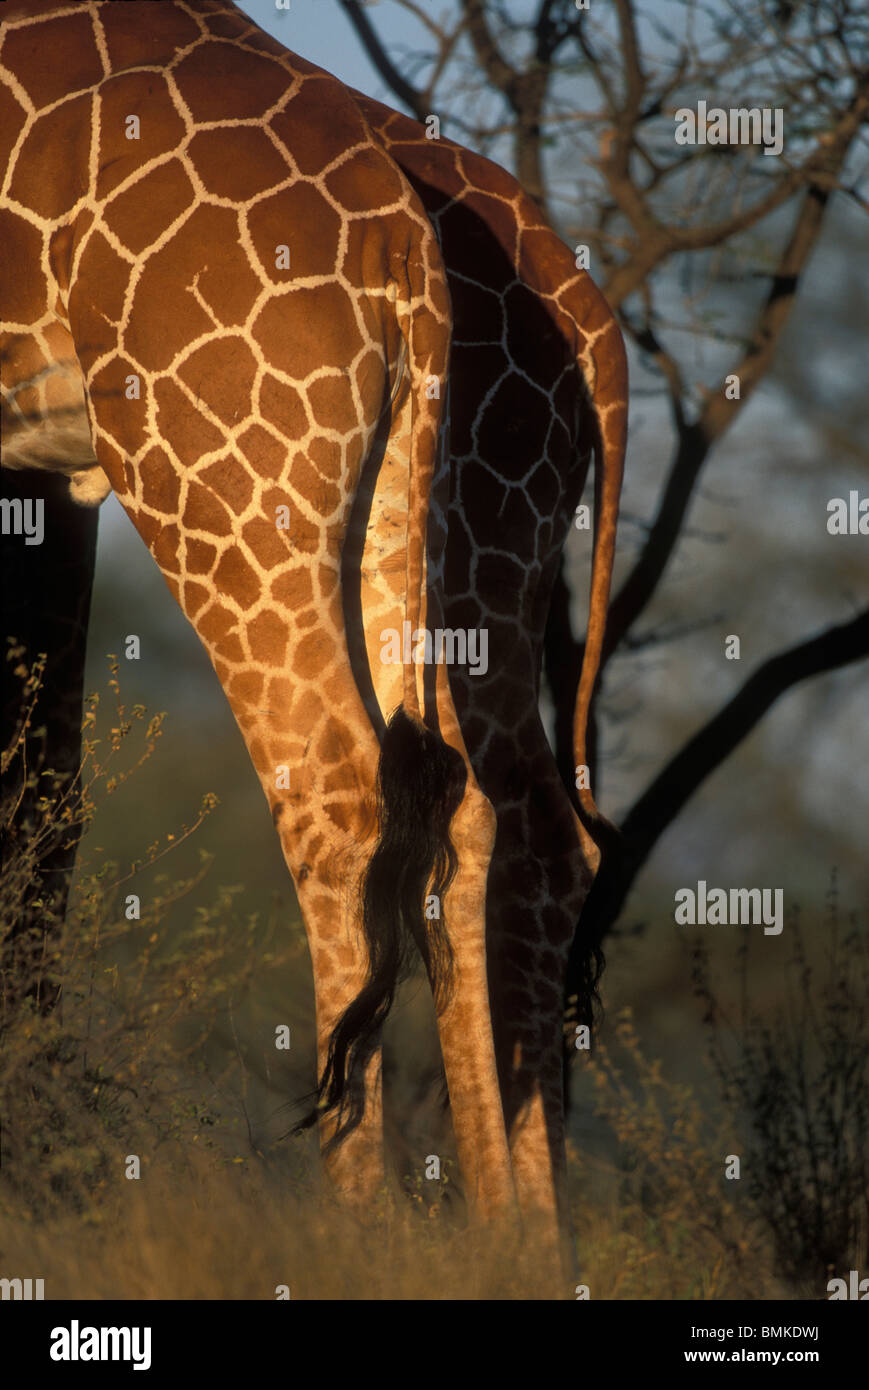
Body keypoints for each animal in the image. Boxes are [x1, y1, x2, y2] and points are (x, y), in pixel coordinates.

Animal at [0, 0, 516, 1219]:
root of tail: (402, 247)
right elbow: (44, 791)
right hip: (394, 493)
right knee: (462, 803)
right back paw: (511, 1235)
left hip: (216, 476)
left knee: (336, 789)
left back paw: (359, 1222)